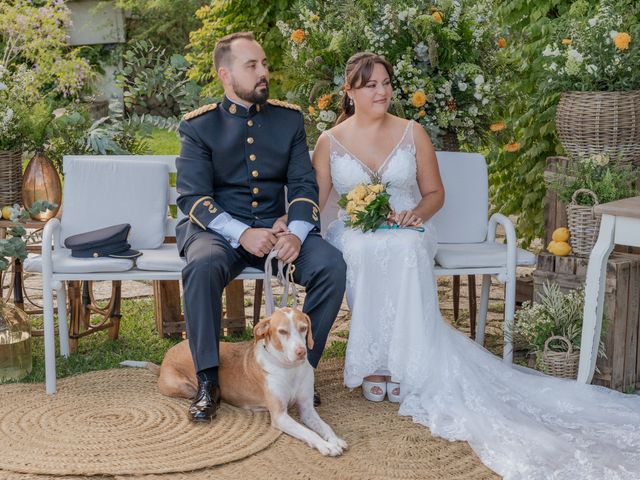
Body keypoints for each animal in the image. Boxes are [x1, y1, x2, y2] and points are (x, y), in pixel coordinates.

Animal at [152, 308, 348, 458]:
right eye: (282, 331)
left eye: (303, 328)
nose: (301, 352)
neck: (289, 369)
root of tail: (169, 352)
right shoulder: (280, 416)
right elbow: (308, 432)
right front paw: (326, 446)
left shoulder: (307, 410)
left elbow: (324, 426)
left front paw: (335, 440)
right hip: (184, 387)